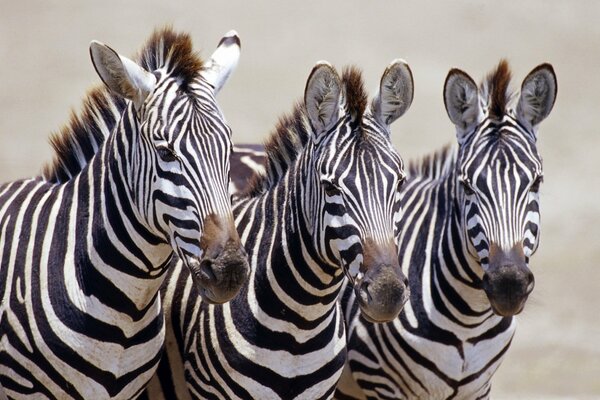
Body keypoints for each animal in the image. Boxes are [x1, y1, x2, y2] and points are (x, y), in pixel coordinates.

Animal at [336, 60, 560, 400]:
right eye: (467, 185)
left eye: (536, 182)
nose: (508, 286)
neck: (468, 319)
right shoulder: (380, 383)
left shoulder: (478, 389)